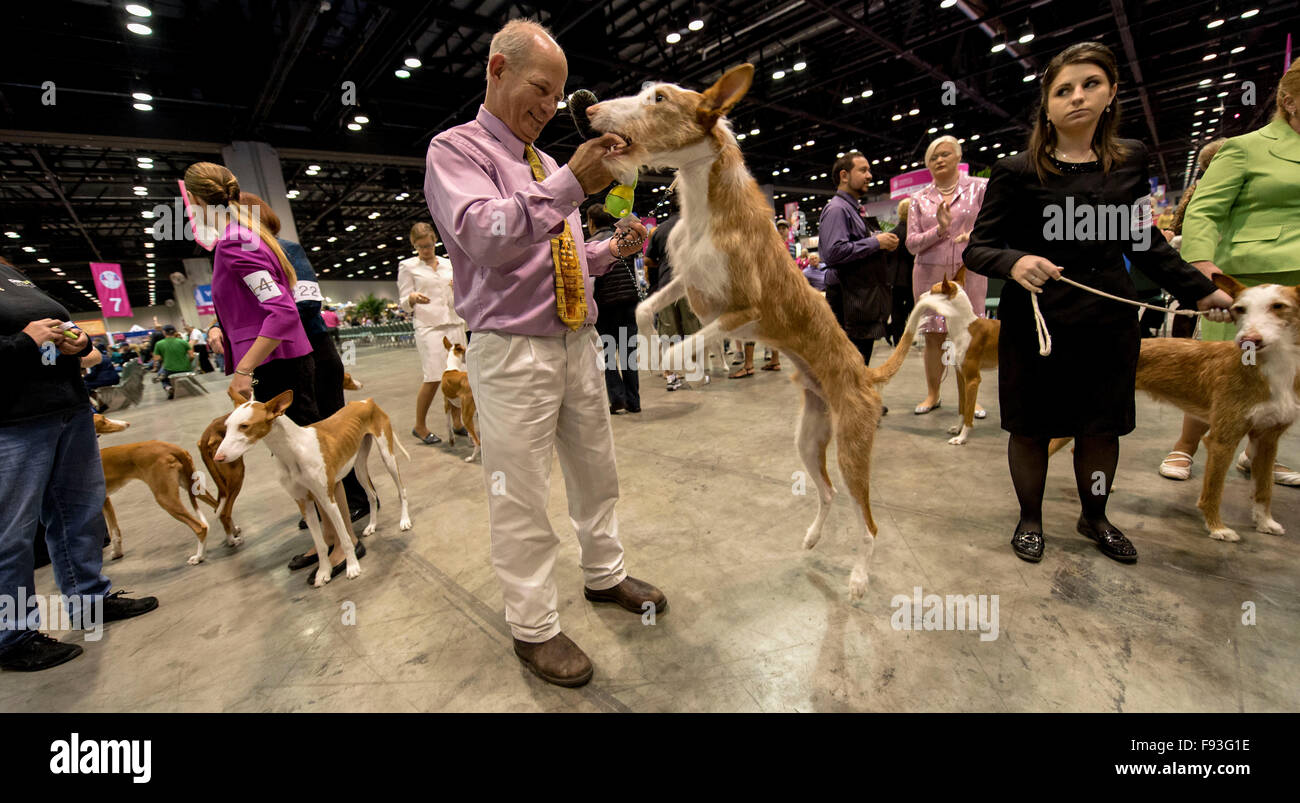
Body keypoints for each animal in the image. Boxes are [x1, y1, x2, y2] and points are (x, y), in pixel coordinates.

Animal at [211, 384, 410, 584]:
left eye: (244, 426)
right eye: (227, 426)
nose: (218, 458)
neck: (292, 452)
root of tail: (366, 401)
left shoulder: (327, 499)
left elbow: (344, 538)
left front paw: (352, 566)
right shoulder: (304, 502)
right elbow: (320, 544)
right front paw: (323, 571)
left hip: (387, 456)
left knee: (401, 491)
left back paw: (404, 521)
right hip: (358, 466)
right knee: (372, 495)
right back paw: (372, 526)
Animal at [587, 65, 925, 597]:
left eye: (658, 98)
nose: (588, 109)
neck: (706, 206)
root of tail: (867, 377)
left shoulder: (747, 310)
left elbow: (686, 346)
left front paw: (679, 368)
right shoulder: (685, 280)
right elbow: (644, 312)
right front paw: (655, 350)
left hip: (853, 448)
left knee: (868, 523)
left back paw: (857, 578)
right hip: (809, 437)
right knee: (827, 492)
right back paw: (813, 537)